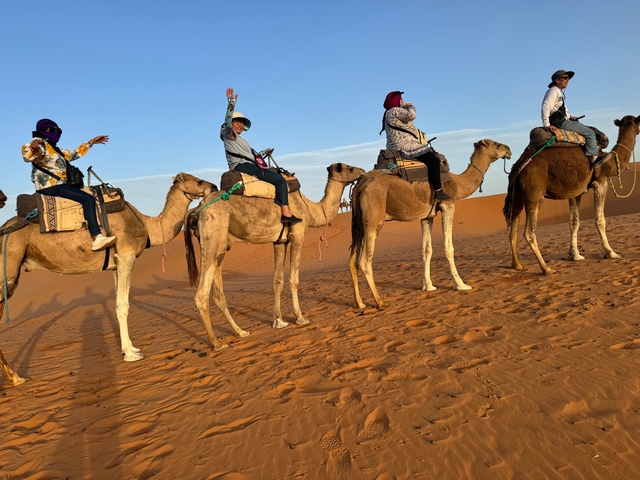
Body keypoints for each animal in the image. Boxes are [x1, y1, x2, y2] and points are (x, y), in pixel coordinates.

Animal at [0, 173, 215, 386]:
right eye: (198, 181)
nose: (213, 187)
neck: (147, 224)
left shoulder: (116, 264)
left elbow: (118, 304)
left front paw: (130, 348)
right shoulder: (127, 256)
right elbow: (123, 305)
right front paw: (131, 355)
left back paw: (15, 378)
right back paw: (16, 378)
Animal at [184, 163, 365, 350]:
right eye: (349, 168)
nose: (363, 171)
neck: (309, 208)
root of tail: (197, 209)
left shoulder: (280, 241)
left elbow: (278, 281)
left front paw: (278, 321)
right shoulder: (297, 236)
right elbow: (294, 279)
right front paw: (300, 318)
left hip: (220, 248)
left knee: (218, 293)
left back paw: (240, 332)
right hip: (212, 241)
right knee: (201, 295)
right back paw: (216, 343)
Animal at [349, 139, 512, 310]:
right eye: (496, 144)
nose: (509, 150)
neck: (457, 182)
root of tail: (359, 185)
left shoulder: (427, 216)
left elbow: (427, 250)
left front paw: (428, 286)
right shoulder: (448, 205)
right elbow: (448, 248)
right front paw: (461, 284)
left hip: (359, 224)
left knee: (352, 261)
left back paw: (359, 303)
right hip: (373, 221)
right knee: (364, 262)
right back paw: (380, 302)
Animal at [503, 115, 640, 275]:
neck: (609, 160)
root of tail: (518, 165)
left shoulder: (576, 192)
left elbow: (574, 222)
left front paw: (575, 255)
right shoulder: (600, 181)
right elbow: (600, 220)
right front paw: (611, 253)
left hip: (517, 197)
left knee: (513, 231)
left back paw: (516, 265)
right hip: (534, 194)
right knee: (529, 233)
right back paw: (546, 268)